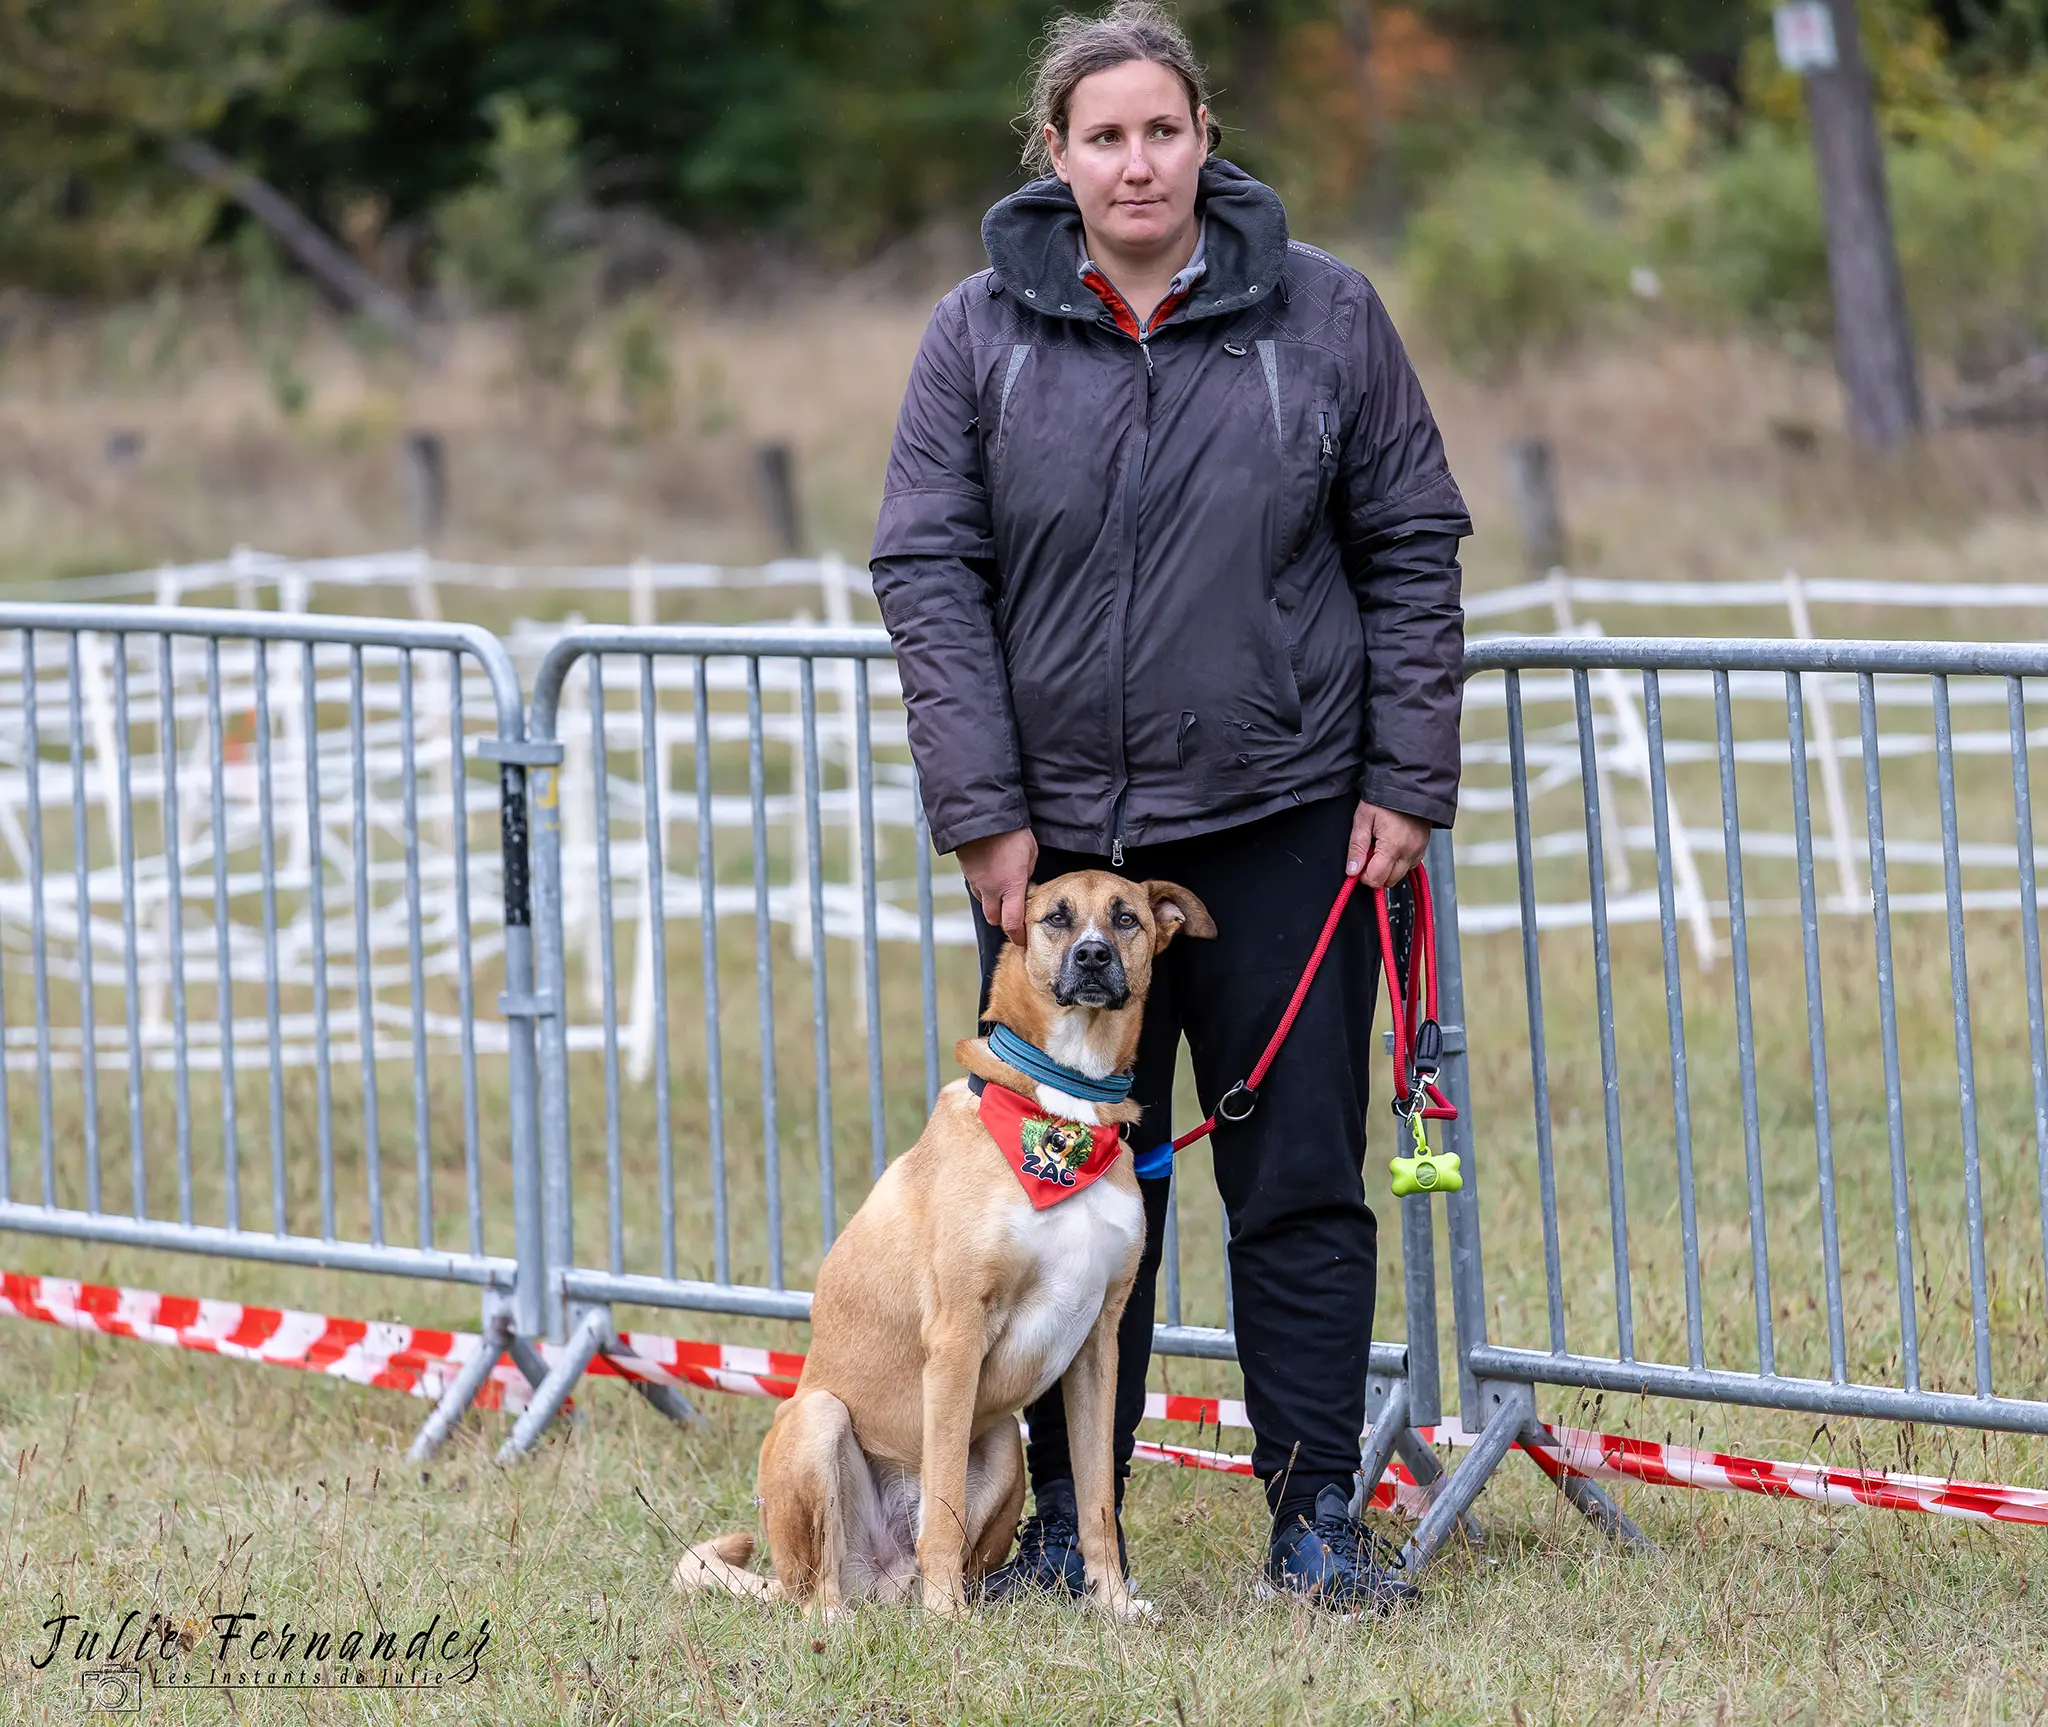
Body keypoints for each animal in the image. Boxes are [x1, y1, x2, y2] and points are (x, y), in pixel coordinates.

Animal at [671, 876, 1212, 1622]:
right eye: (1057, 918)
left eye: (1125, 918)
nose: (1094, 956)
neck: (1063, 1110)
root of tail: (878, 1580)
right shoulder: (957, 1335)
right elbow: (947, 1501)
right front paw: (947, 1616)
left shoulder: (1098, 1344)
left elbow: (1098, 1499)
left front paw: (1113, 1605)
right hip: (817, 1419)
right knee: (819, 1588)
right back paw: (850, 1618)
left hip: (1004, 1442)